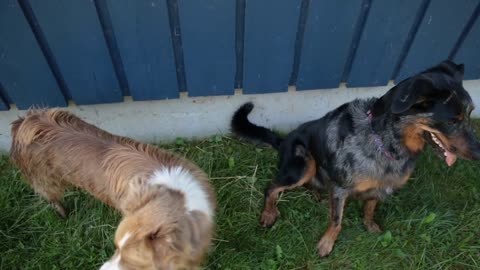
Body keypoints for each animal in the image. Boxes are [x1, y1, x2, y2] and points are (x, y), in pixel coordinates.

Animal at [9, 109, 216, 270]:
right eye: (115, 247)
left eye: (133, 263)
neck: (177, 195)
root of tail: (25, 122)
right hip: (45, 180)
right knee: (52, 197)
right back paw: (63, 214)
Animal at [232, 61, 480, 258]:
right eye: (452, 121)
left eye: (469, 114)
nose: (478, 153)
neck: (384, 141)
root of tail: (282, 140)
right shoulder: (341, 189)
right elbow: (337, 221)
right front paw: (326, 244)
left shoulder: (381, 187)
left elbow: (370, 207)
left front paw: (370, 225)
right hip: (303, 164)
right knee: (271, 188)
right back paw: (269, 213)